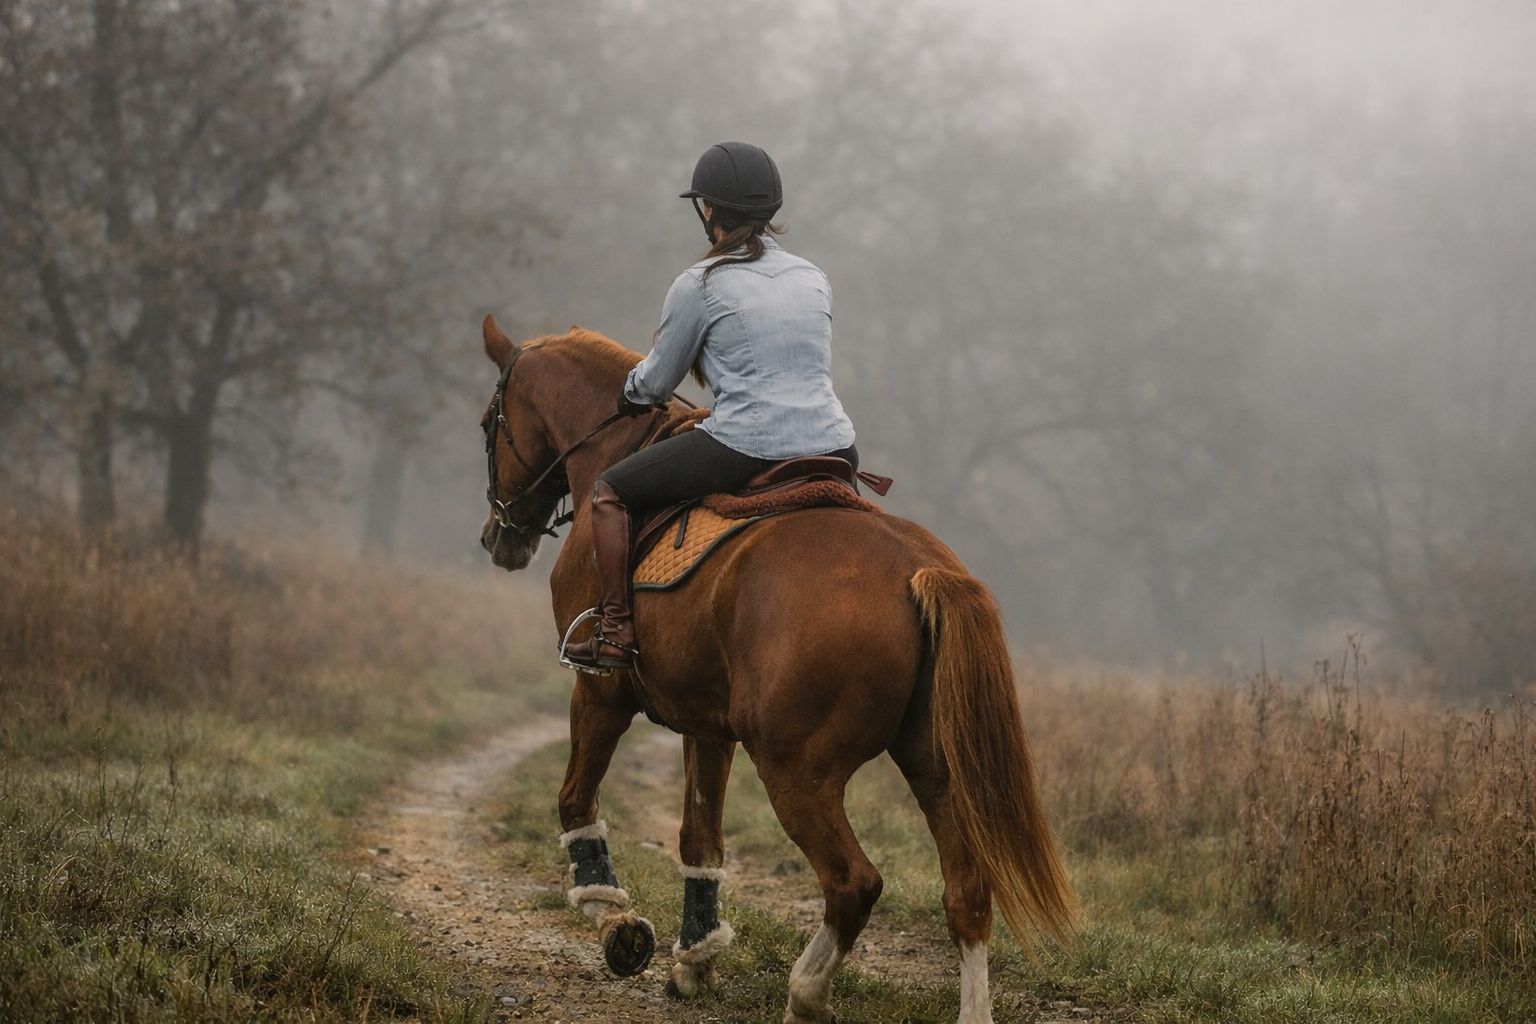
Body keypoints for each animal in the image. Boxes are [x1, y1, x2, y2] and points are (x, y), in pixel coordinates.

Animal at [475, 315, 1077, 1024]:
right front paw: (695, 959)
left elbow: (575, 802)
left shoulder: (597, 693)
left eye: (488, 422)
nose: (498, 537)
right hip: (934, 765)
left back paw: (805, 993)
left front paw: (616, 923)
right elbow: (699, 839)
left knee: (853, 883)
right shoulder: (705, 724)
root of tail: (920, 569)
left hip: (797, 769)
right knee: (967, 892)